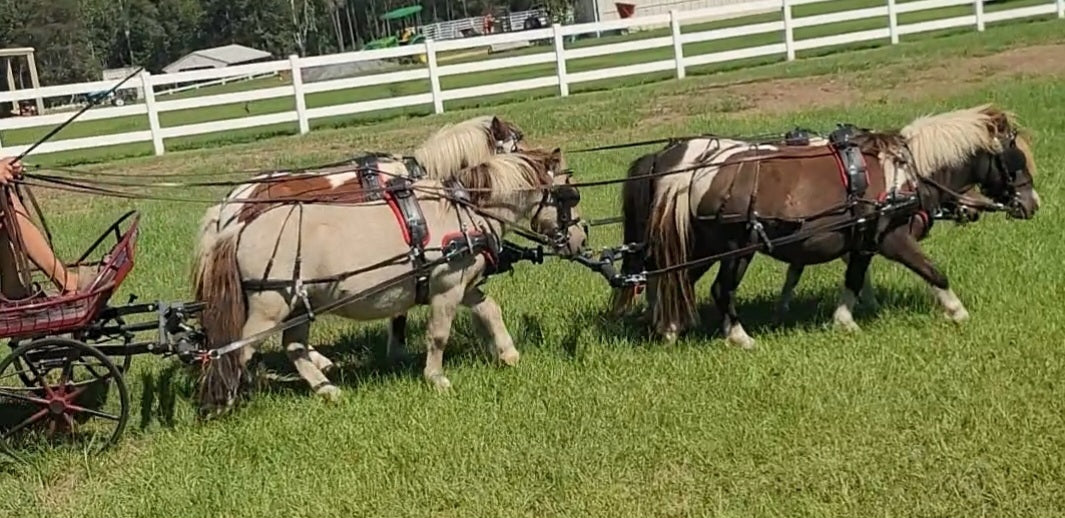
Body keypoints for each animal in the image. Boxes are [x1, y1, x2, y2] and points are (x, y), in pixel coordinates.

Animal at [193, 147, 592, 413]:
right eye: (570, 194)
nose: (581, 239)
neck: (462, 210)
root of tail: (237, 228)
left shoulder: (462, 284)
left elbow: (489, 309)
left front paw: (508, 354)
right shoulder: (446, 287)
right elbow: (438, 335)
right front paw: (436, 378)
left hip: (298, 306)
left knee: (293, 347)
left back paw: (326, 389)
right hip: (269, 307)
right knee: (239, 349)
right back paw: (228, 397)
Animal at [613, 104, 1035, 347]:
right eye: (1015, 159)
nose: (1033, 203)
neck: (906, 171)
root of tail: (685, 166)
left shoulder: (864, 240)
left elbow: (853, 279)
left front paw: (844, 321)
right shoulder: (892, 238)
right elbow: (933, 271)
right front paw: (958, 312)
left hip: (700, 245)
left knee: (672, 279)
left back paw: (670, 327)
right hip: (735, 248)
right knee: (716, 289)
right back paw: (738, 337)